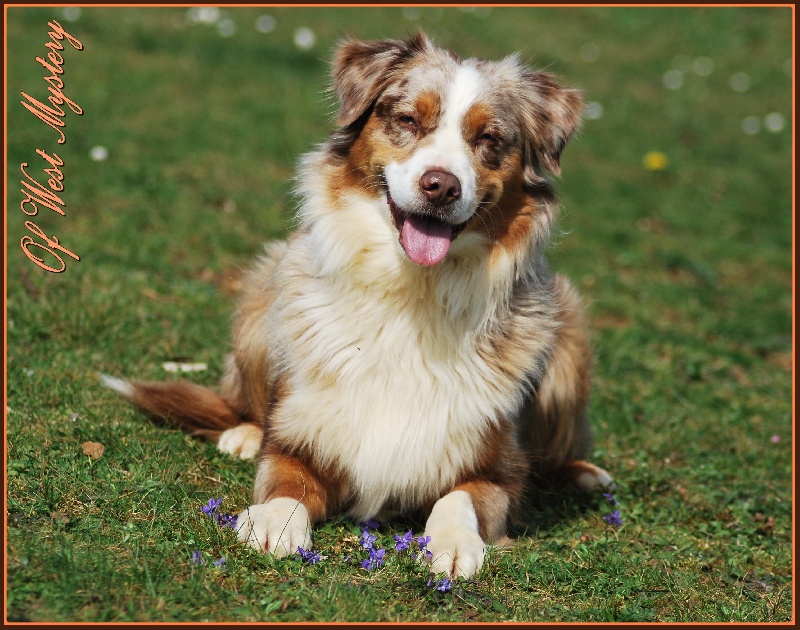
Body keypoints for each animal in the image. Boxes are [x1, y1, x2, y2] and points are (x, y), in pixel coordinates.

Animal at [100, 32, 612, 580]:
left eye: (489, 140)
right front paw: (272, 521)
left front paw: (453, 543)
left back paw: (586, 474)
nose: (441, 185)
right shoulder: (300, 443)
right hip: (263, 294)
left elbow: (459, 499)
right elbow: (286, 484)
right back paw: (242, 433)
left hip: (569, 336)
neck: (411, 290)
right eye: (408, 120)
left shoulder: (499, 474)